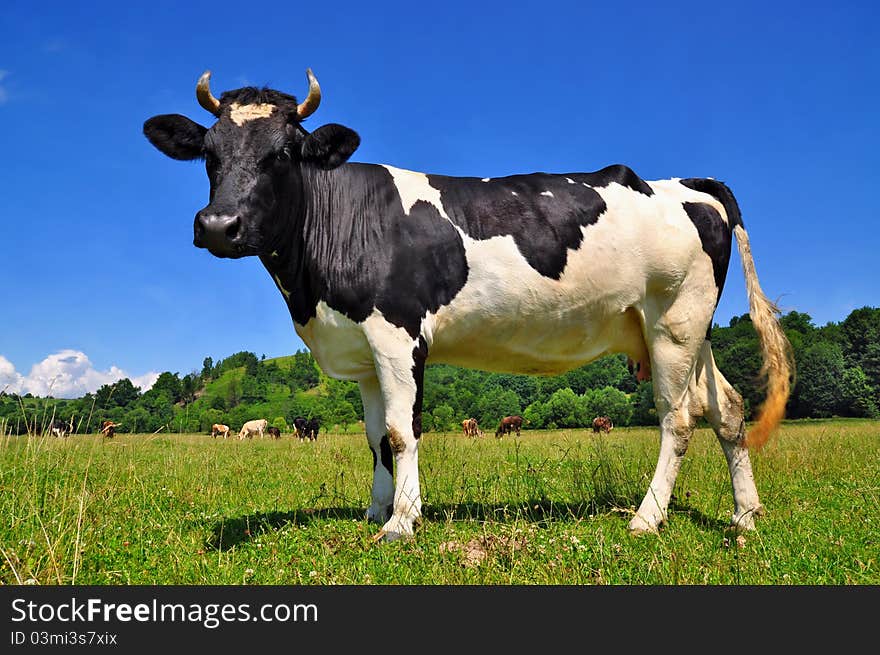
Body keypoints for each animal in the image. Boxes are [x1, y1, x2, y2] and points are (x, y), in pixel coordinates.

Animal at [143, 69, 792, 540]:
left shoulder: (399, 335)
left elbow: (402, 432)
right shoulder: (363, 350)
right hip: (689, 327)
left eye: (282, 153)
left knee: (678, 418)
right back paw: (745, 516)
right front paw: (376, 512)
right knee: (728, 410)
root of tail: (685, 183)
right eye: (209, 153)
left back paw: (646, 518)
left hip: (673, 322)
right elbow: (375, 436)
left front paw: (402, 524)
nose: (218, 225)